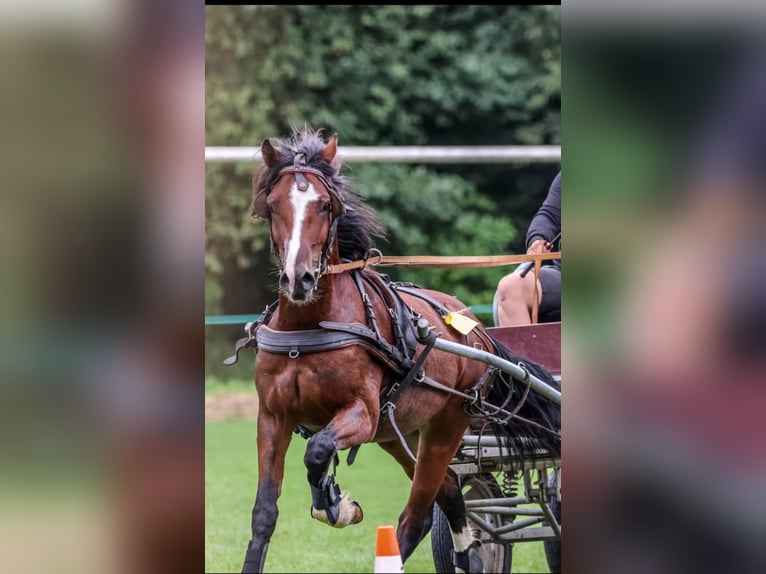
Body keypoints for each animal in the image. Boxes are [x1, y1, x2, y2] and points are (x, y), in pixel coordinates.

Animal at [230, 129, 561, 573]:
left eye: (325, 204)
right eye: (272, 204)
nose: (298, 279)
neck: (308, 328)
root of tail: (477, 333)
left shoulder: (362, 413)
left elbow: (318, 452)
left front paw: (334, 502)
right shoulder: (272, 417)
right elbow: (264, 514)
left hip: (443, 428)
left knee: (419, 511)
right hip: (400, 433)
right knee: (449, 493)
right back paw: (468, 555)